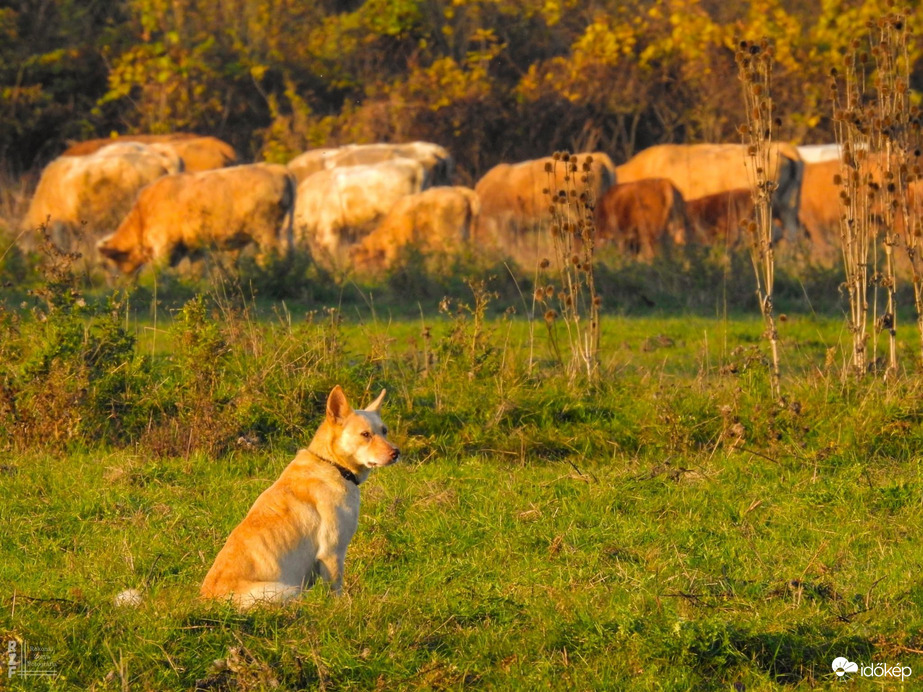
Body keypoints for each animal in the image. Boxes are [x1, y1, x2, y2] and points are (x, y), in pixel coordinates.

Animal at [98, 163, 294, 274]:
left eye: (117, 261)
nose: (126, 281)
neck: (143, 214)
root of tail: (279, 169)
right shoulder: (195, 248)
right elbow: (196, 272)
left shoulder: (164, 245)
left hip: (267, 233)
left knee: (275, 254)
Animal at [200, 386, 398, 608]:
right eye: (365, 434)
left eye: (384, 431)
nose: (396, 453)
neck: (333, 465)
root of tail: (208, 600)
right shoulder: (332, 552)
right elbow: (336, 591)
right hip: (289, 590)